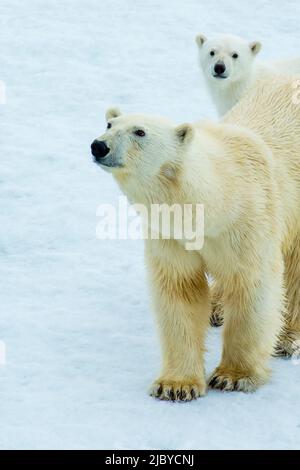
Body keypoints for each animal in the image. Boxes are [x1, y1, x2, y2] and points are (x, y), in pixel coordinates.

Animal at [91, 76, 300, 400]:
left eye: (140, 131)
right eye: (109, 124)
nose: (99, 145)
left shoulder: (250, 221)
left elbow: (252, 284)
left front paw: (233, 376)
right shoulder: (171, 236)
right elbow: (180, 289)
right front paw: (176, 385)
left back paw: (288, 337)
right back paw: (217, 307)